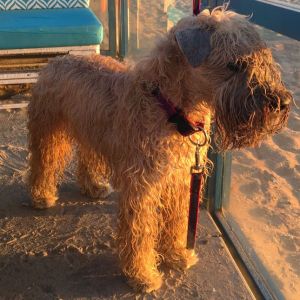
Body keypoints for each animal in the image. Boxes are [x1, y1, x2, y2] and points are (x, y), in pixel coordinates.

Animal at [27, 8, 290, 292]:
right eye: (234, 64)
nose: (283, 102)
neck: (171, 109)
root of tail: (56, 61)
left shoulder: (180, 178)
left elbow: (176, 221)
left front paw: (176, 254)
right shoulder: (142, 186)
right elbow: (140, 232)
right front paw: (142, 274)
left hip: (91, 131)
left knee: (87, 158)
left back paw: (93, 186)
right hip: (50, 131)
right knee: (43, 163)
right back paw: (41, 196)